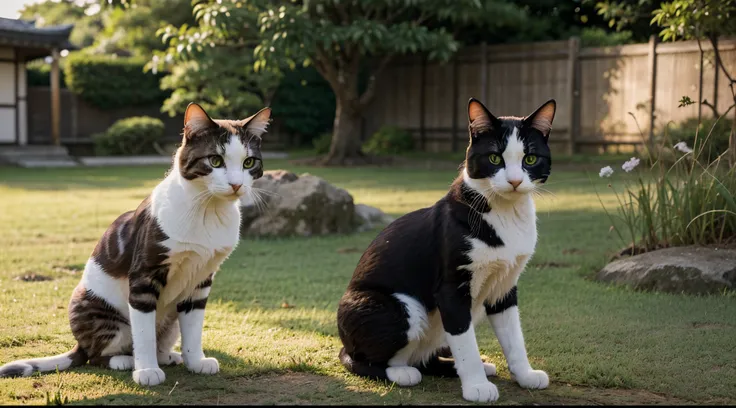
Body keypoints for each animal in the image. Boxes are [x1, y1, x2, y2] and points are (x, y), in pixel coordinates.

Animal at [0, 102, 270, 386]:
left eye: (249, 162)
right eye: (215, 160)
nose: (236, 184)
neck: (208, 211)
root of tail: (79, 344)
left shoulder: (201, 277)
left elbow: (194, 326)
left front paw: (196, 361)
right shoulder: (144, 274)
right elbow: (143, 332)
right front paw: (146, 371)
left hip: (170, 319)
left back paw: (169, 356)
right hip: (97, 308)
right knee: (96, 355)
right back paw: (124, 360)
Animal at [336, 98, 556, 402]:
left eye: (530, 159)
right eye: (494, 158)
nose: (514, 181)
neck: (505, 214)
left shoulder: (504, 287)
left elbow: (514, 338)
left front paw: (524, 375)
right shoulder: (452, 289)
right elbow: (465, 344)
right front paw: (476, 387)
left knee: (425, 359)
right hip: (400, 306)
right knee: (358, 358)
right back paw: (401, 373)